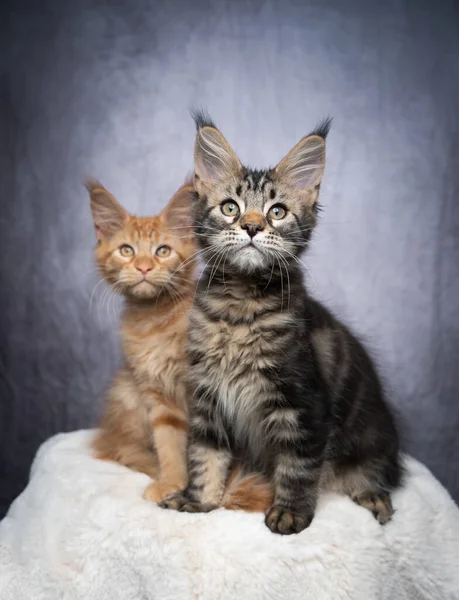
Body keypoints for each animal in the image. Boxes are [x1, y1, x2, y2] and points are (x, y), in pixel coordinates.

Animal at [161, 112, 402, 536]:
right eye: (230, 208)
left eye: (276, 211)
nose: (253, 227)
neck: (239, 310)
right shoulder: (208, 396)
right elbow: (205, 455)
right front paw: (198, 499)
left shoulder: (303, 402)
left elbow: (298, 466)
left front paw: (290, 513)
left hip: (371, 439)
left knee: (370, 476)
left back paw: (373, 498)